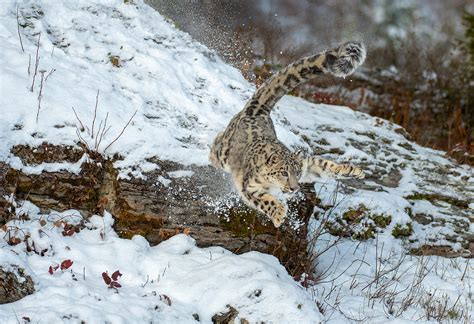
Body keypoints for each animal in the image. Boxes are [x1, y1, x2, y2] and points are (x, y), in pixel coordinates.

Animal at [210, 41, 366, 228]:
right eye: (283, 173)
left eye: (297, 172)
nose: (294, 188)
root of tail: (257, 110)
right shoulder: (249, 187)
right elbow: (264, 200)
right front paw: (279, 214)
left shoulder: (307, 165)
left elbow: (325, 166)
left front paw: (353, 171)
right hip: (224, 153)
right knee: (217, 143)